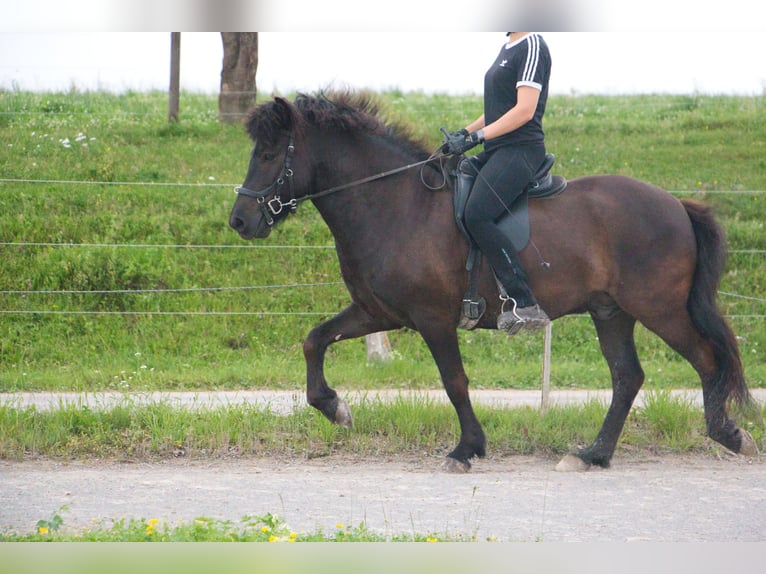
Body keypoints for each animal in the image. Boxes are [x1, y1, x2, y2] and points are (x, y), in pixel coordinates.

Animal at [228, 91, 756, 472]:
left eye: (270, 153)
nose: (239, 221)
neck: (395, 205)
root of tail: (677, 205)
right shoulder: (379, 312)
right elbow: (314, 340)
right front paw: (334, 408)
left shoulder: (432, 319)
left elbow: (454, 381)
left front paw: (467, 448)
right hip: (612, 311)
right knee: (628, 377)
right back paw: (594, 455)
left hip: (659, 308)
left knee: (706, 360)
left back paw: (729, 435)